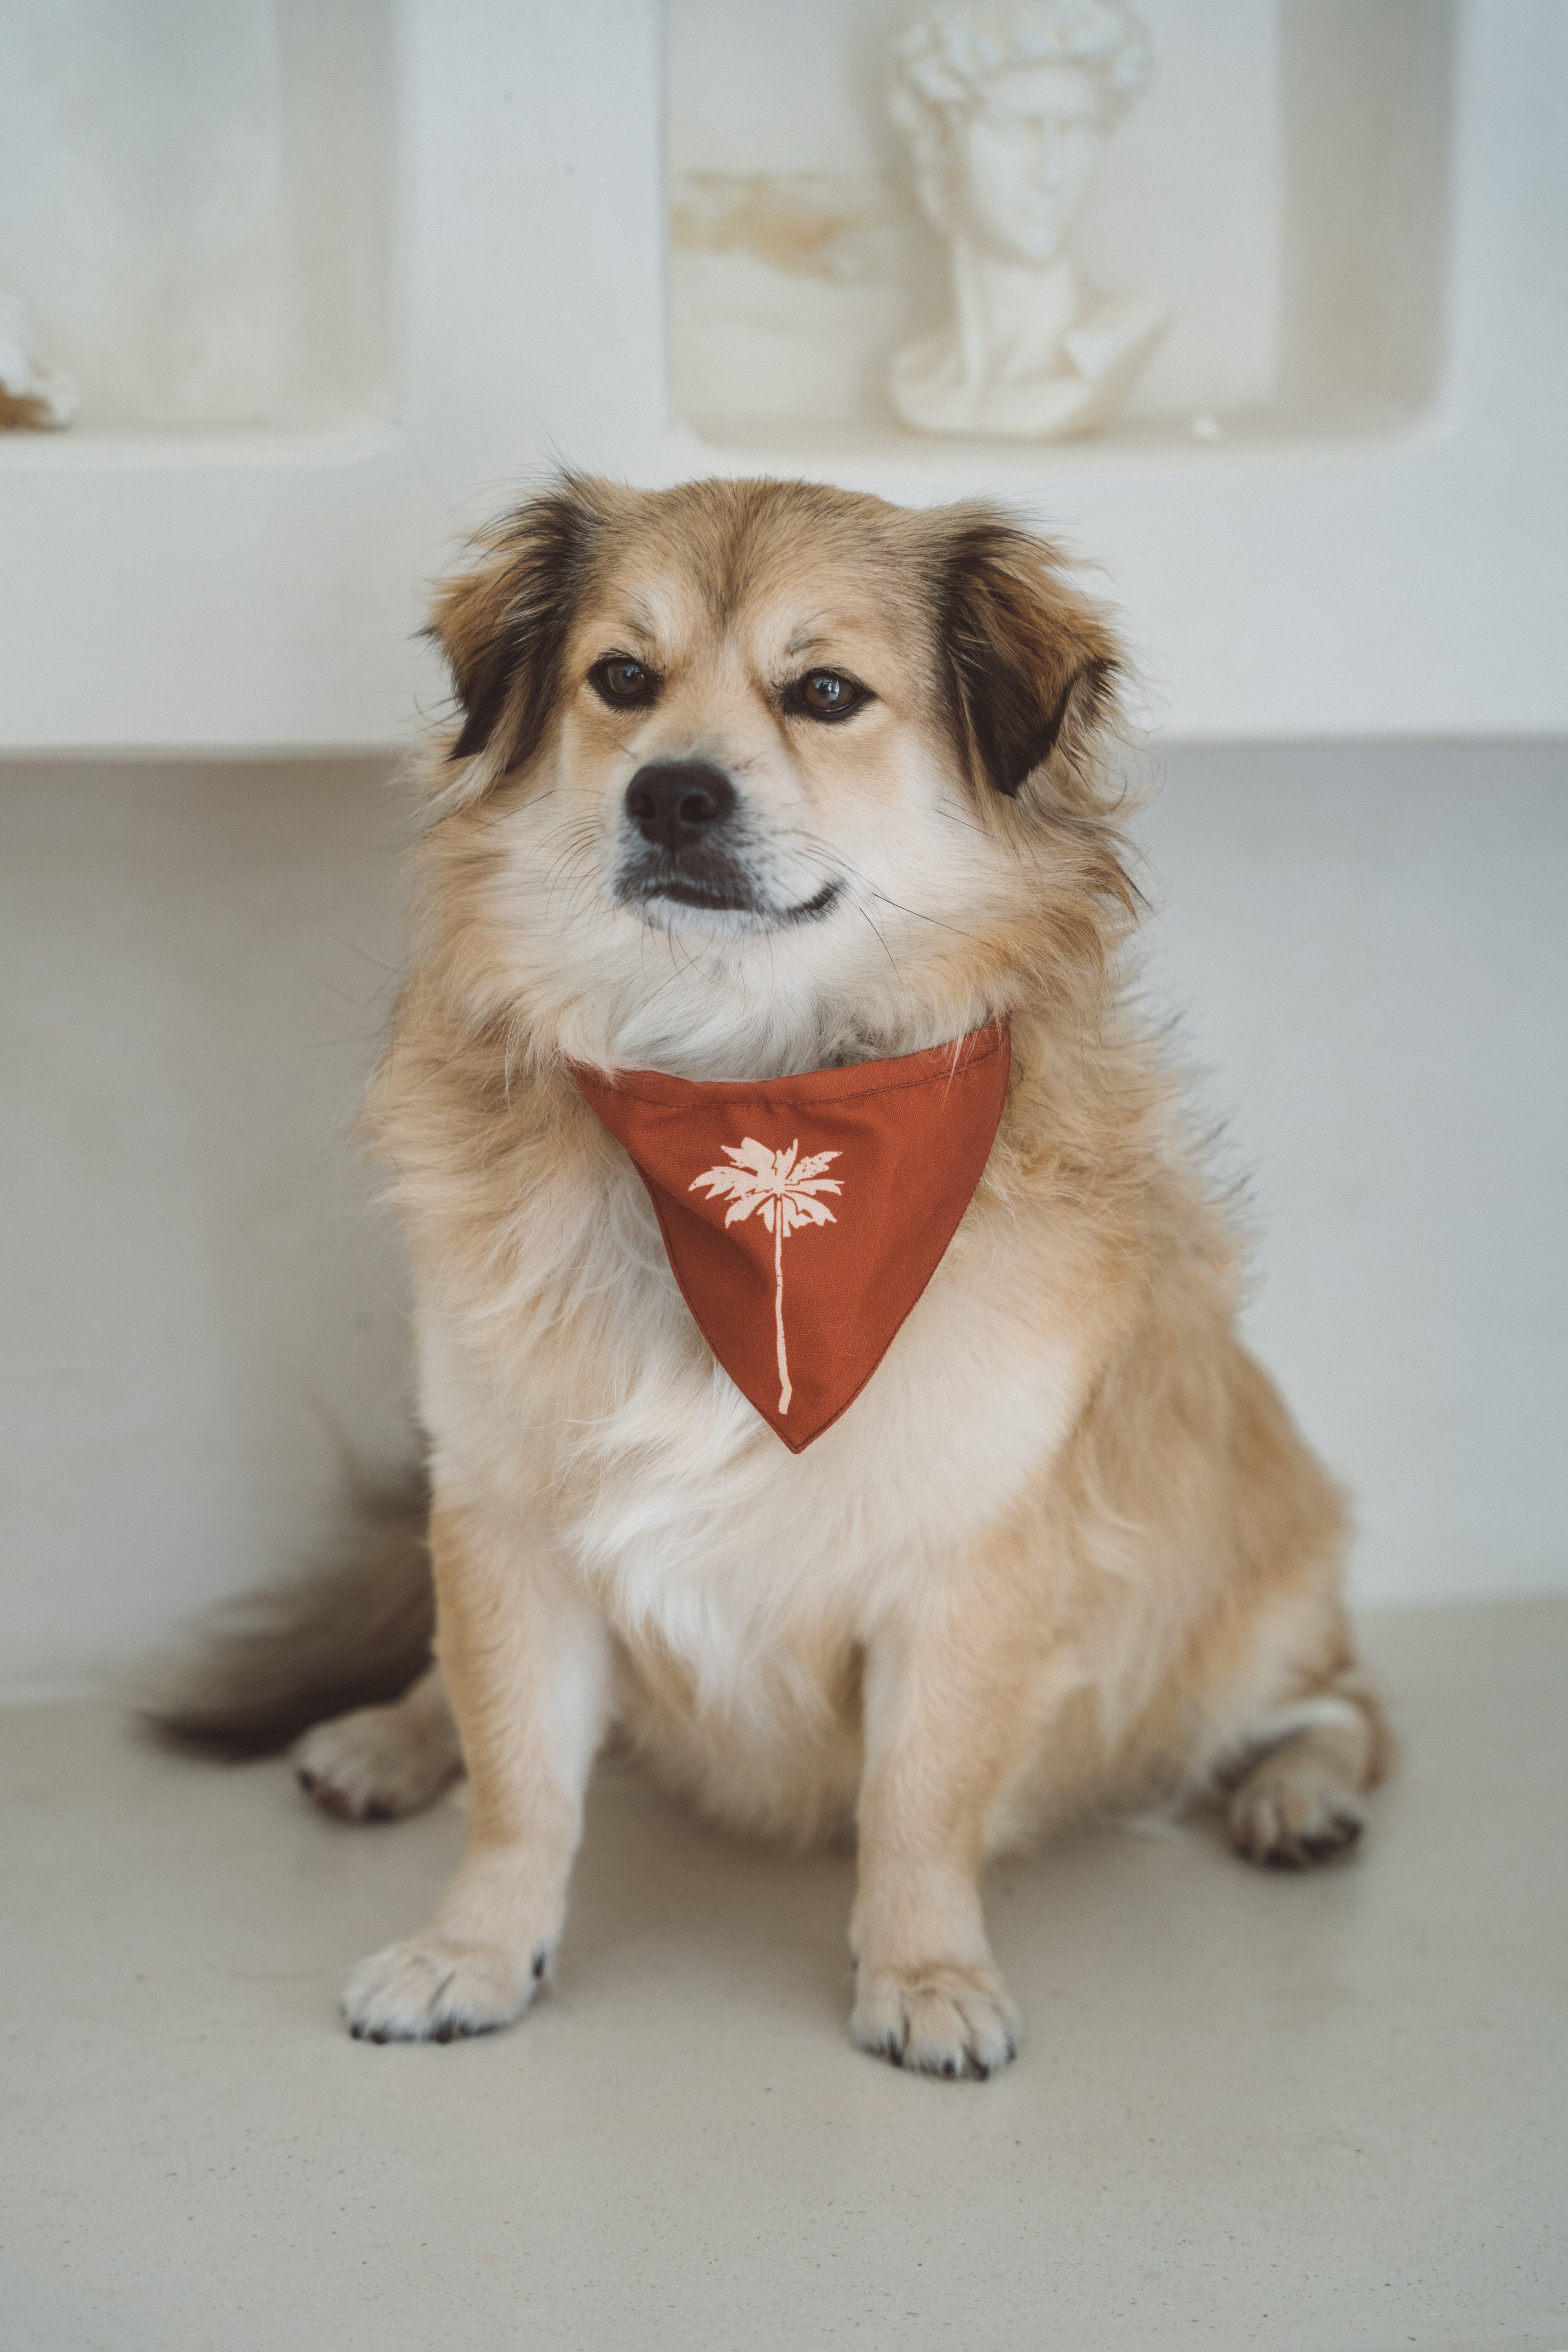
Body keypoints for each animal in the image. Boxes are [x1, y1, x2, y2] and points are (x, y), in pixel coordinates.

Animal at [156, 477, 1382, 2079]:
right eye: (622, 678)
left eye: (825, 694)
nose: (671, 793)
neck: (746, 1116)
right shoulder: (504, 1521)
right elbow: (518, 1780)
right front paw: (474, 1949)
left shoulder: (964, 1562)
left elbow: (918, 1800)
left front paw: (923, 1968)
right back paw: (385, 1736)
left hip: (1251, 1594)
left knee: (1340, 1699)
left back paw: (1300, 1791)